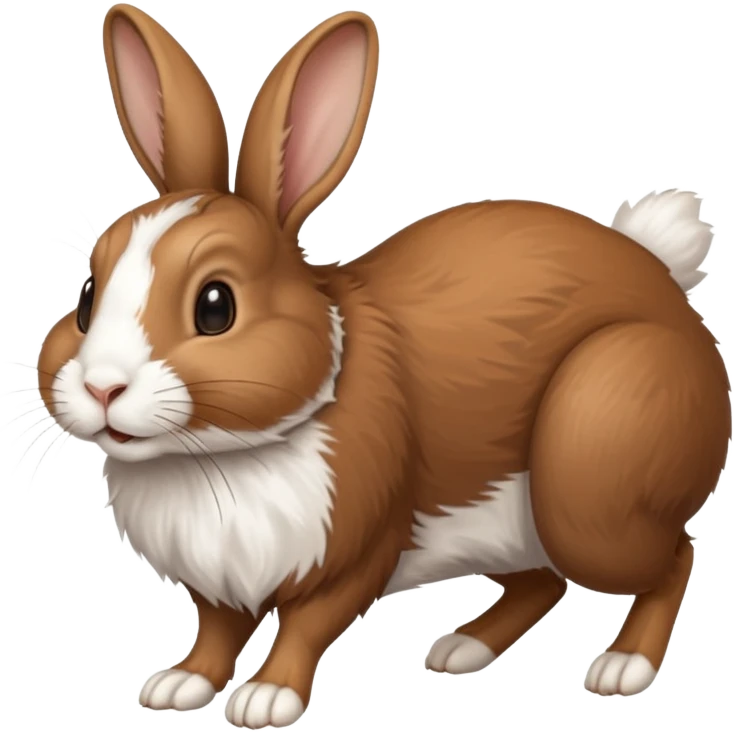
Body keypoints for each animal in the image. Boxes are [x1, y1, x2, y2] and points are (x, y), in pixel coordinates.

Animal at [34, 2, 730, 729]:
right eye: (87, 299)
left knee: (673, 556)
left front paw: (266, 700)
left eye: (216, 306)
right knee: (543, 582)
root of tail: (665, 283)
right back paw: (461, 649)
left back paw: (624, 667)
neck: (218, 456)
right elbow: (217, 632)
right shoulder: (218, 585)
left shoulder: (359, 551)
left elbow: (308, 623)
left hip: (590, 482)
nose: (102, 386)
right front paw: (178, 686)